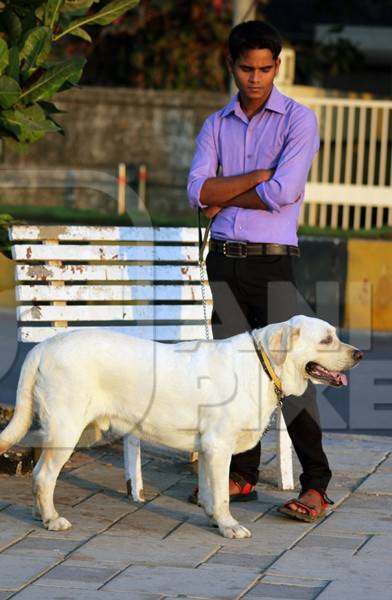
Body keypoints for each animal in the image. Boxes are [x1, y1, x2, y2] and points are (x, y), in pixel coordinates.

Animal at [0, 318, 362, 540]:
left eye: (335, 335)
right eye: (327, 339)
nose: (359, 354)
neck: (264, 365)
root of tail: (43, 347)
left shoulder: (207, 449)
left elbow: (212, 492)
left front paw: (214, 519)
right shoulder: (218, 445)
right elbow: (222, 496)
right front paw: (229, 526)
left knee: (39, 476)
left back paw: (38, 514)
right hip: (67, 428)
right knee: (43, 476)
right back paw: (51, 519)